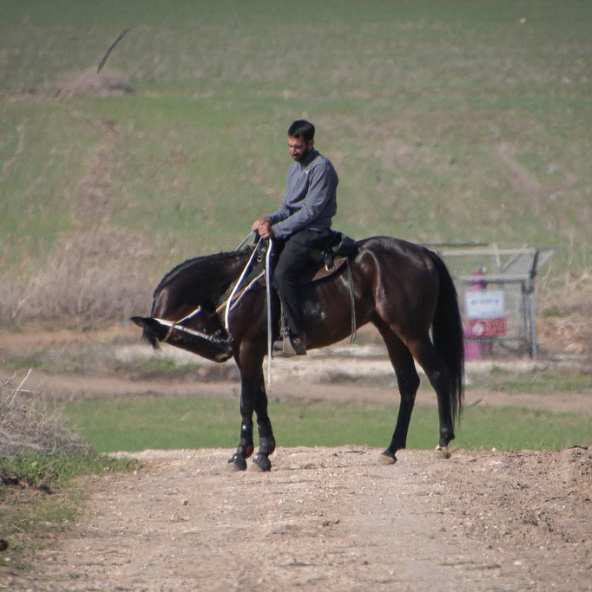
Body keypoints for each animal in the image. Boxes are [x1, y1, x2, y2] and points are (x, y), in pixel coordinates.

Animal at [132, 235, 464, 472]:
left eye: (183, 332)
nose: (222, 345)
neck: (238, 283)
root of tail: (423, 253)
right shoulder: (247, 351)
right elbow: (260, 399)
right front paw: (263, 451)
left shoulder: (248, 347)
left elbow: (246, 401)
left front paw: (241, 455)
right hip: (390, 331)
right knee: (408, 383)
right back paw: (391, 450)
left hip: (412, 332)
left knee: (438, 375)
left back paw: (443, 442)